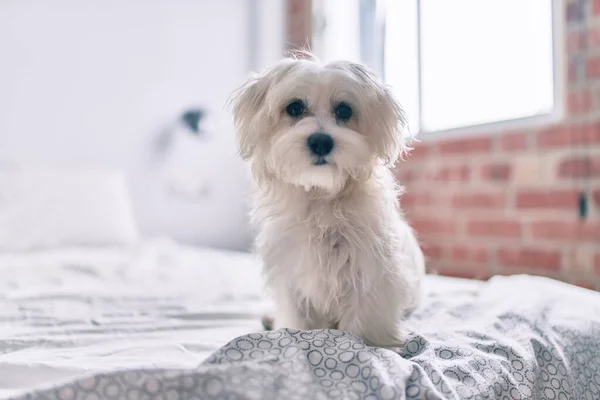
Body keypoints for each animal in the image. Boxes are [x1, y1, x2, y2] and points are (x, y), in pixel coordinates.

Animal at [231, 52, 426, 346]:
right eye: (294, 108)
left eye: (344, 110)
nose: (321, 142)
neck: (321, 197)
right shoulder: (293, 274)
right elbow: (299, 321)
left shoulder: (371, 270)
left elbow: (364, 321)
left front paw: (372, 344)